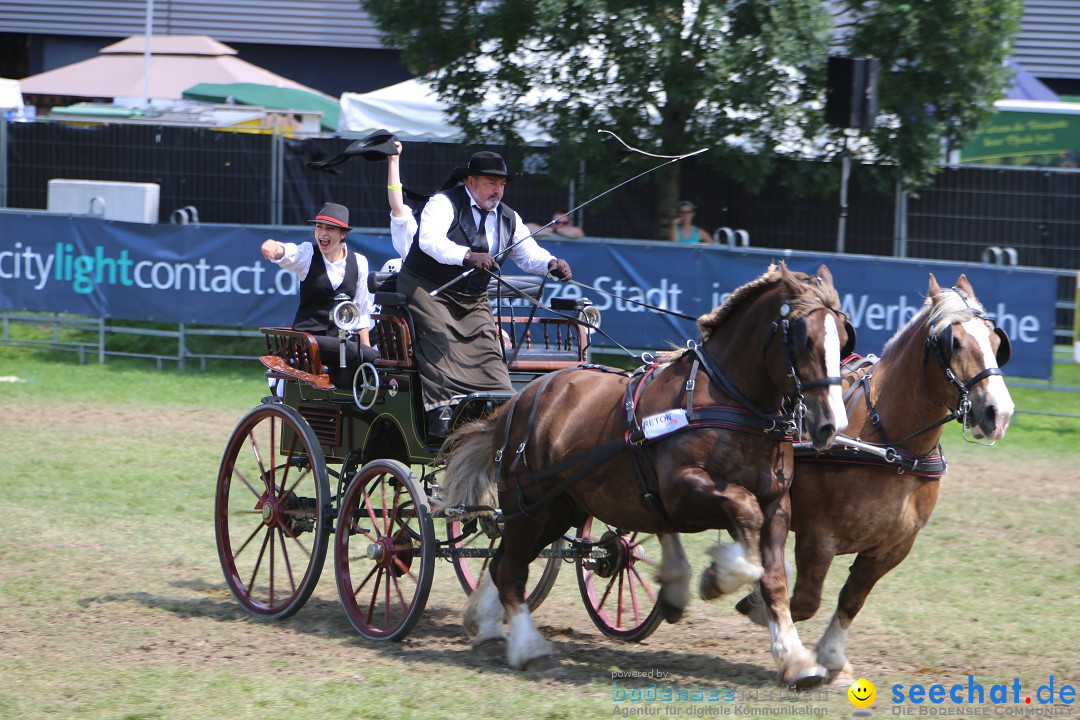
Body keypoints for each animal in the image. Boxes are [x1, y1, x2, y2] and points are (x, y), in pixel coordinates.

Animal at [436, 263, 851, 686]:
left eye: (843, 338)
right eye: (804, 340)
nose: (830, 425)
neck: (730, 399)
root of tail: (516, 401)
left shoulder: (777, 505)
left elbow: (775, 577)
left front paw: (795, 659)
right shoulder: (683, 489)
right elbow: (745, 516)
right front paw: (720, 576)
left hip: (560, 508)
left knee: (502, 562)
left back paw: (486, 628)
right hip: (530, 505)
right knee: (511, 569)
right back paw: (530, 650)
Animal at [730, 273, 1015, 686]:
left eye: (996, 342)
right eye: (955, 342)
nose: (999, 413)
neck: (891, 446)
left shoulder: (895, 546)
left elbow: (852, 598)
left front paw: (832, 656)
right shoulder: (818, 537)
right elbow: (805, 600)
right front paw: (765, 614)